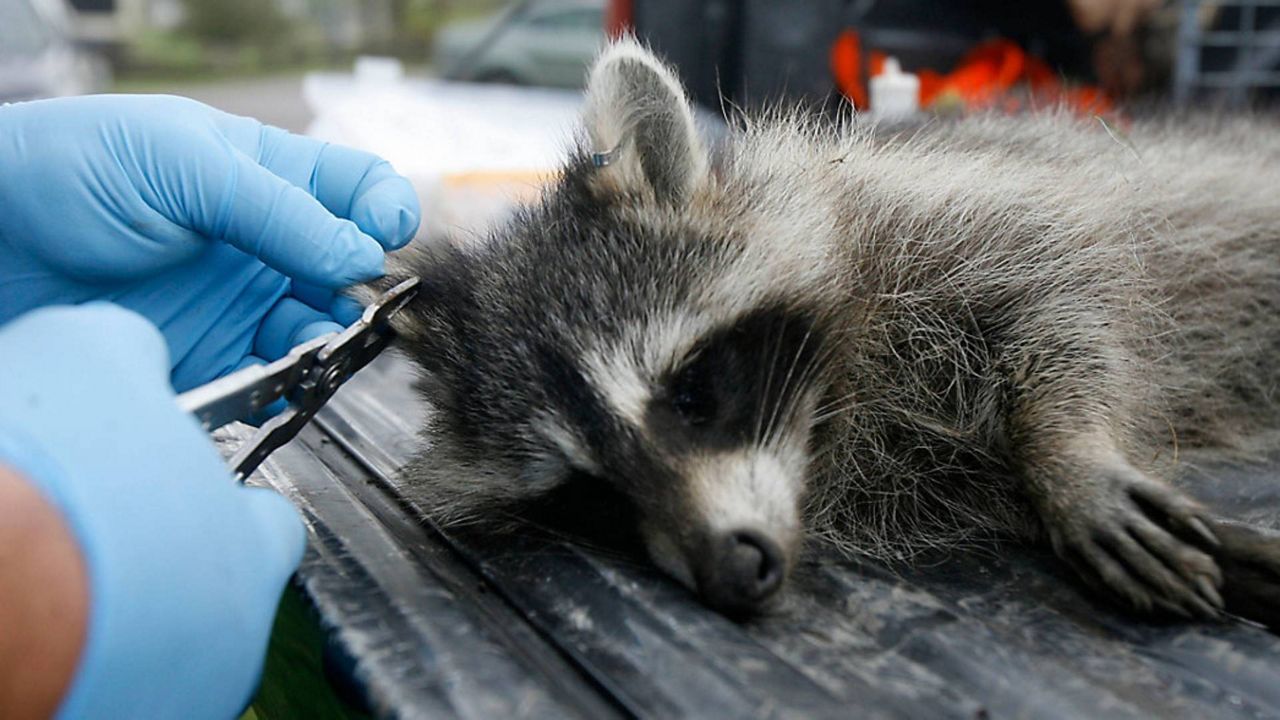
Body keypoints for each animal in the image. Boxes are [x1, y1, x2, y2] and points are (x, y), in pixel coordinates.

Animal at [365, 38, 1280, 622]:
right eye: (588, 493)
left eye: (690, 394)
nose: (731, 572)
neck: (828, 430)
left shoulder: (949, 219)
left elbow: (1068, 298)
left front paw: (1067, 454)